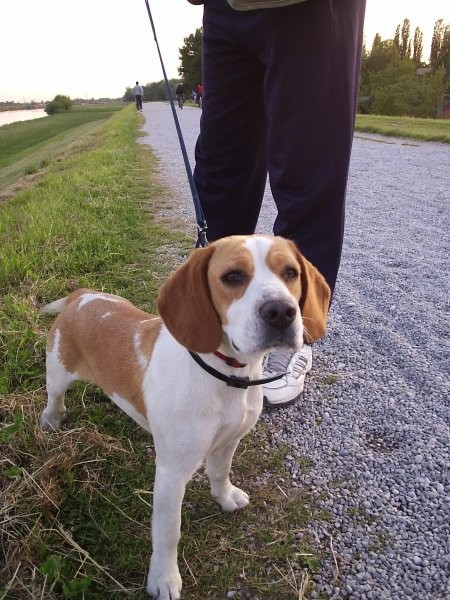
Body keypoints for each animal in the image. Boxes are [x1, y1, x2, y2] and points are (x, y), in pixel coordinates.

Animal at [38, 234, 328, 600]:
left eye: (290, 272)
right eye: (232, 276)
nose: (281, 312)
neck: (228, 376)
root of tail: (83, 296)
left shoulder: (228, 442)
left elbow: (220, 473)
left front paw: (225, 497)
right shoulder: (172, 473)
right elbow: (168, 533)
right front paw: (164, 578)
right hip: (58, 371)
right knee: (54, 396)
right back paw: (52, 419)